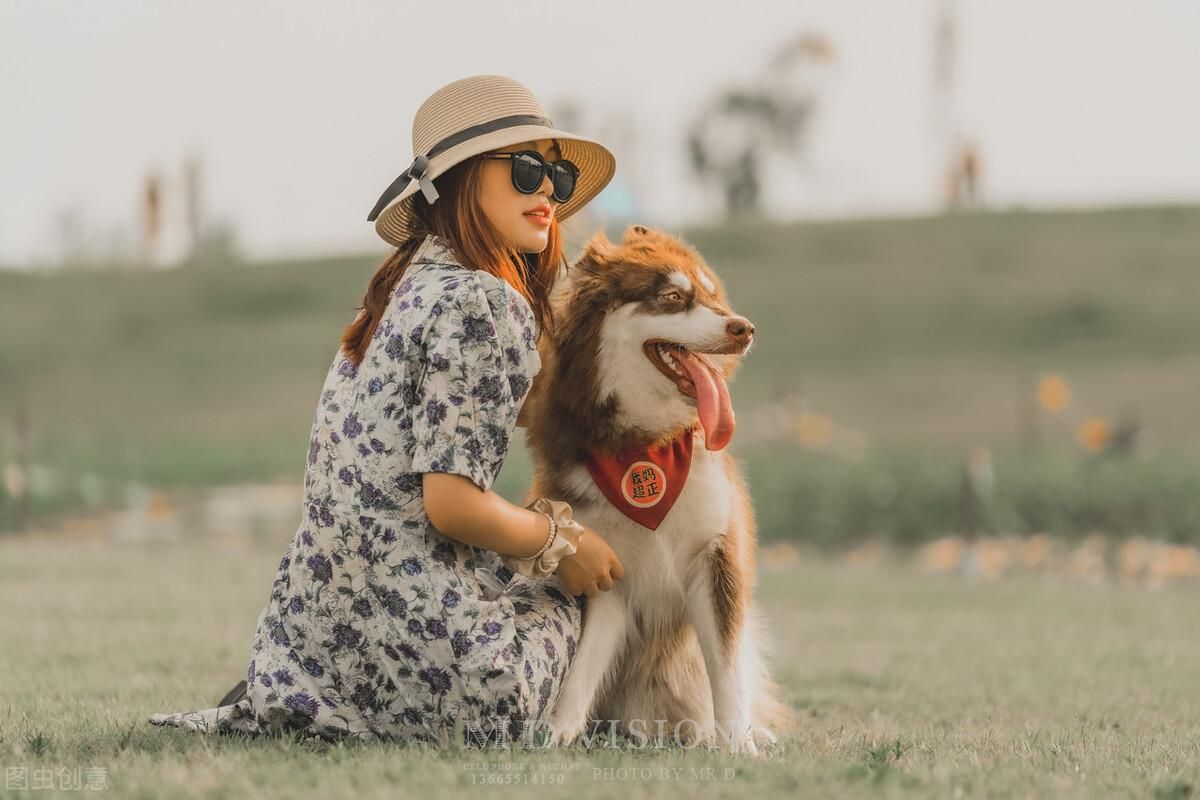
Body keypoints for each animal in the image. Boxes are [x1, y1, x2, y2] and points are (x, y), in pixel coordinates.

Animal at [525, 221, 796, 753]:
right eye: (672, 297)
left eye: (712, 296)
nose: (744, 328)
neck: (647, 447)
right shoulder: (606, 574)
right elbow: (581, 672)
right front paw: (555, 735)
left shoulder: (715, 557)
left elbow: (726, 673)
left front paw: (739, 746)